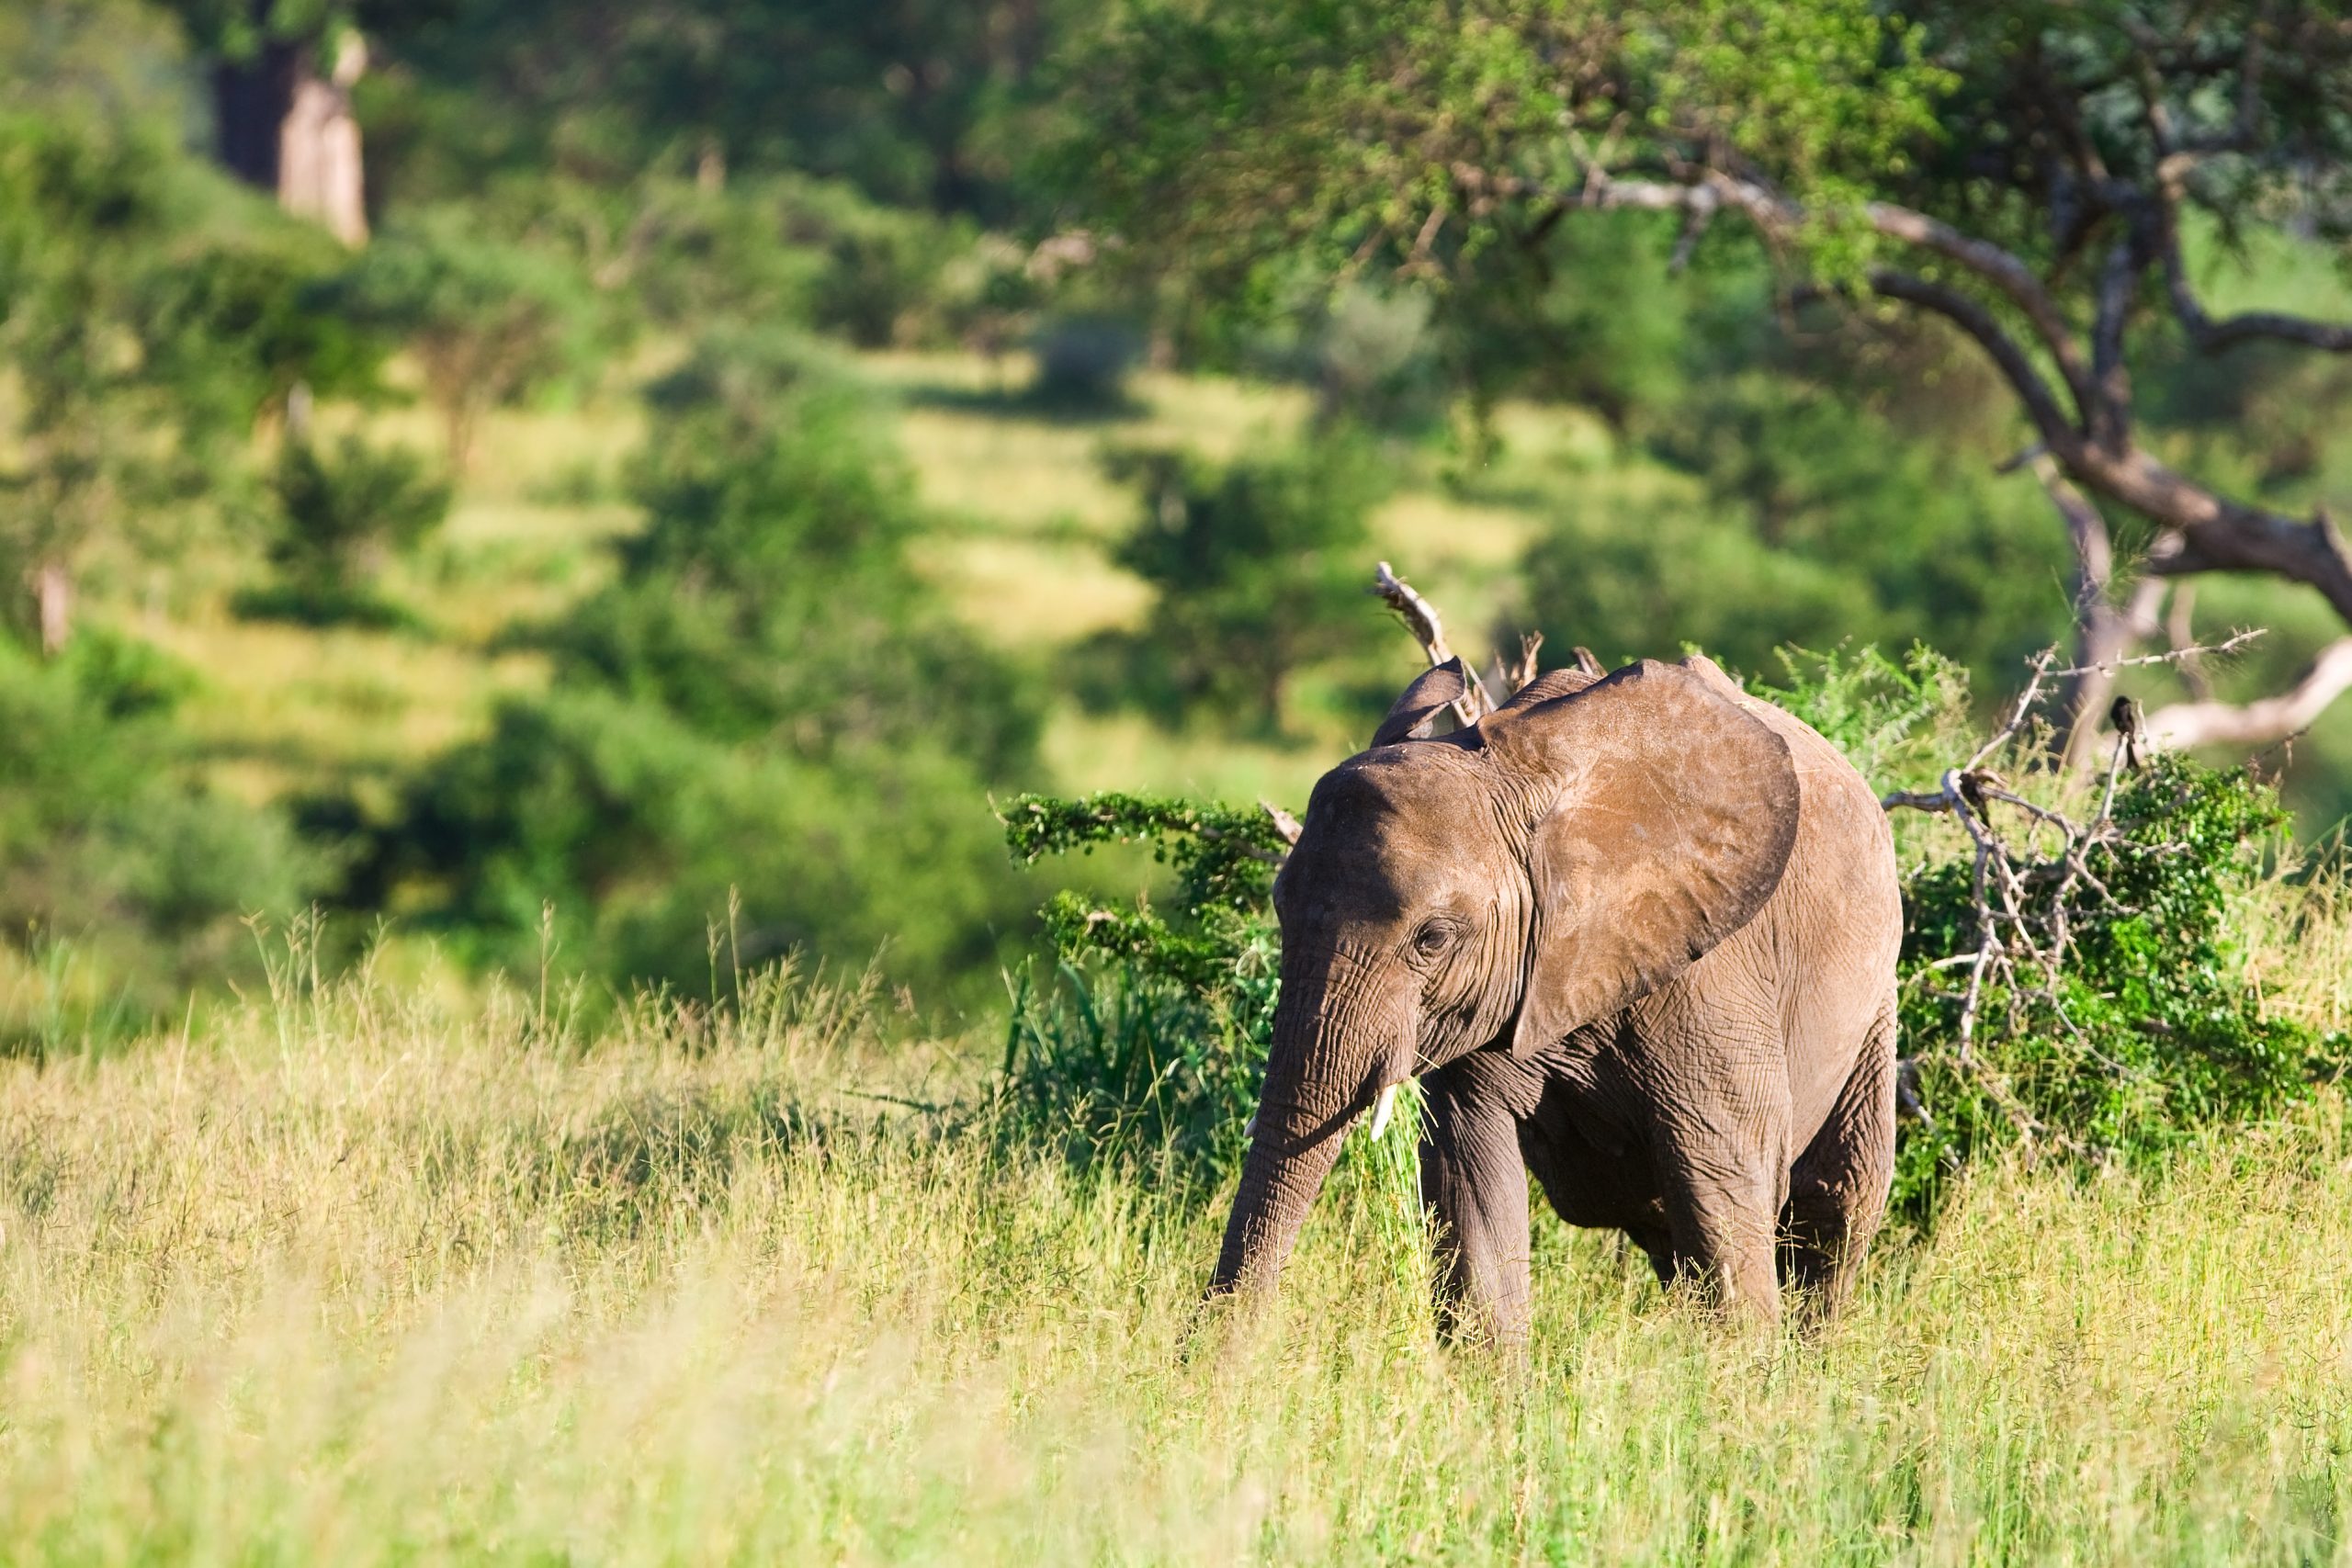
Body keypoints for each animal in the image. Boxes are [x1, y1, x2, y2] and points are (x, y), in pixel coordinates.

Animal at [1207, 653, 1903, 1342]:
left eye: (1433, 938)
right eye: (1279, 908)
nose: (1213, 1359)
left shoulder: (1711, 976)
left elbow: (1722, 1190)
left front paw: (1742, 1373)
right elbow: (1472, 1191)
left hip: (1875, 1001)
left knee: (1835, 1206)